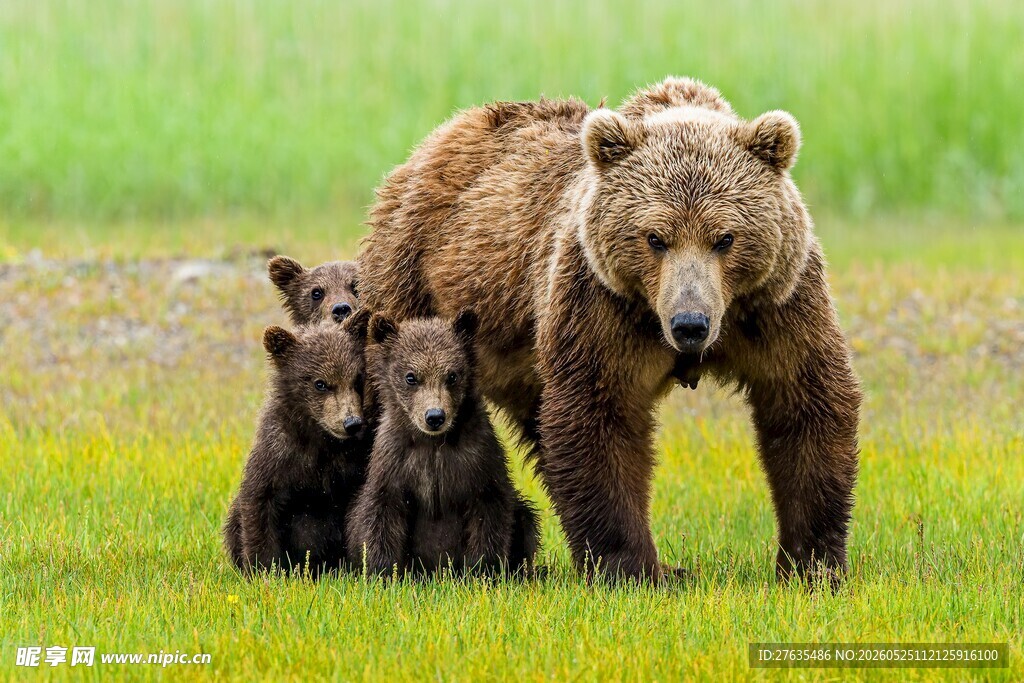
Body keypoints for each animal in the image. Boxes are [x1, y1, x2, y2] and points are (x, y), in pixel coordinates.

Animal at [223, 310, 372, 577]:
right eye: (320, 383)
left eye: (357, 379)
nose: (352, 423)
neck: (319, 440)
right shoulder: (278, 456)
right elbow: (259, 506)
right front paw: (263, 569)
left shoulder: (351, 465)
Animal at [346, 310, 540, 576]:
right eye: (411, 376)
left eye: (452, 375)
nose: (435, 416)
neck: (433, 445)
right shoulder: (395, 462)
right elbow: (382, 515)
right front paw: (383, 572)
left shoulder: (479, 461)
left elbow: (489, 515)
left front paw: (483, 569)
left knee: (525, 520)